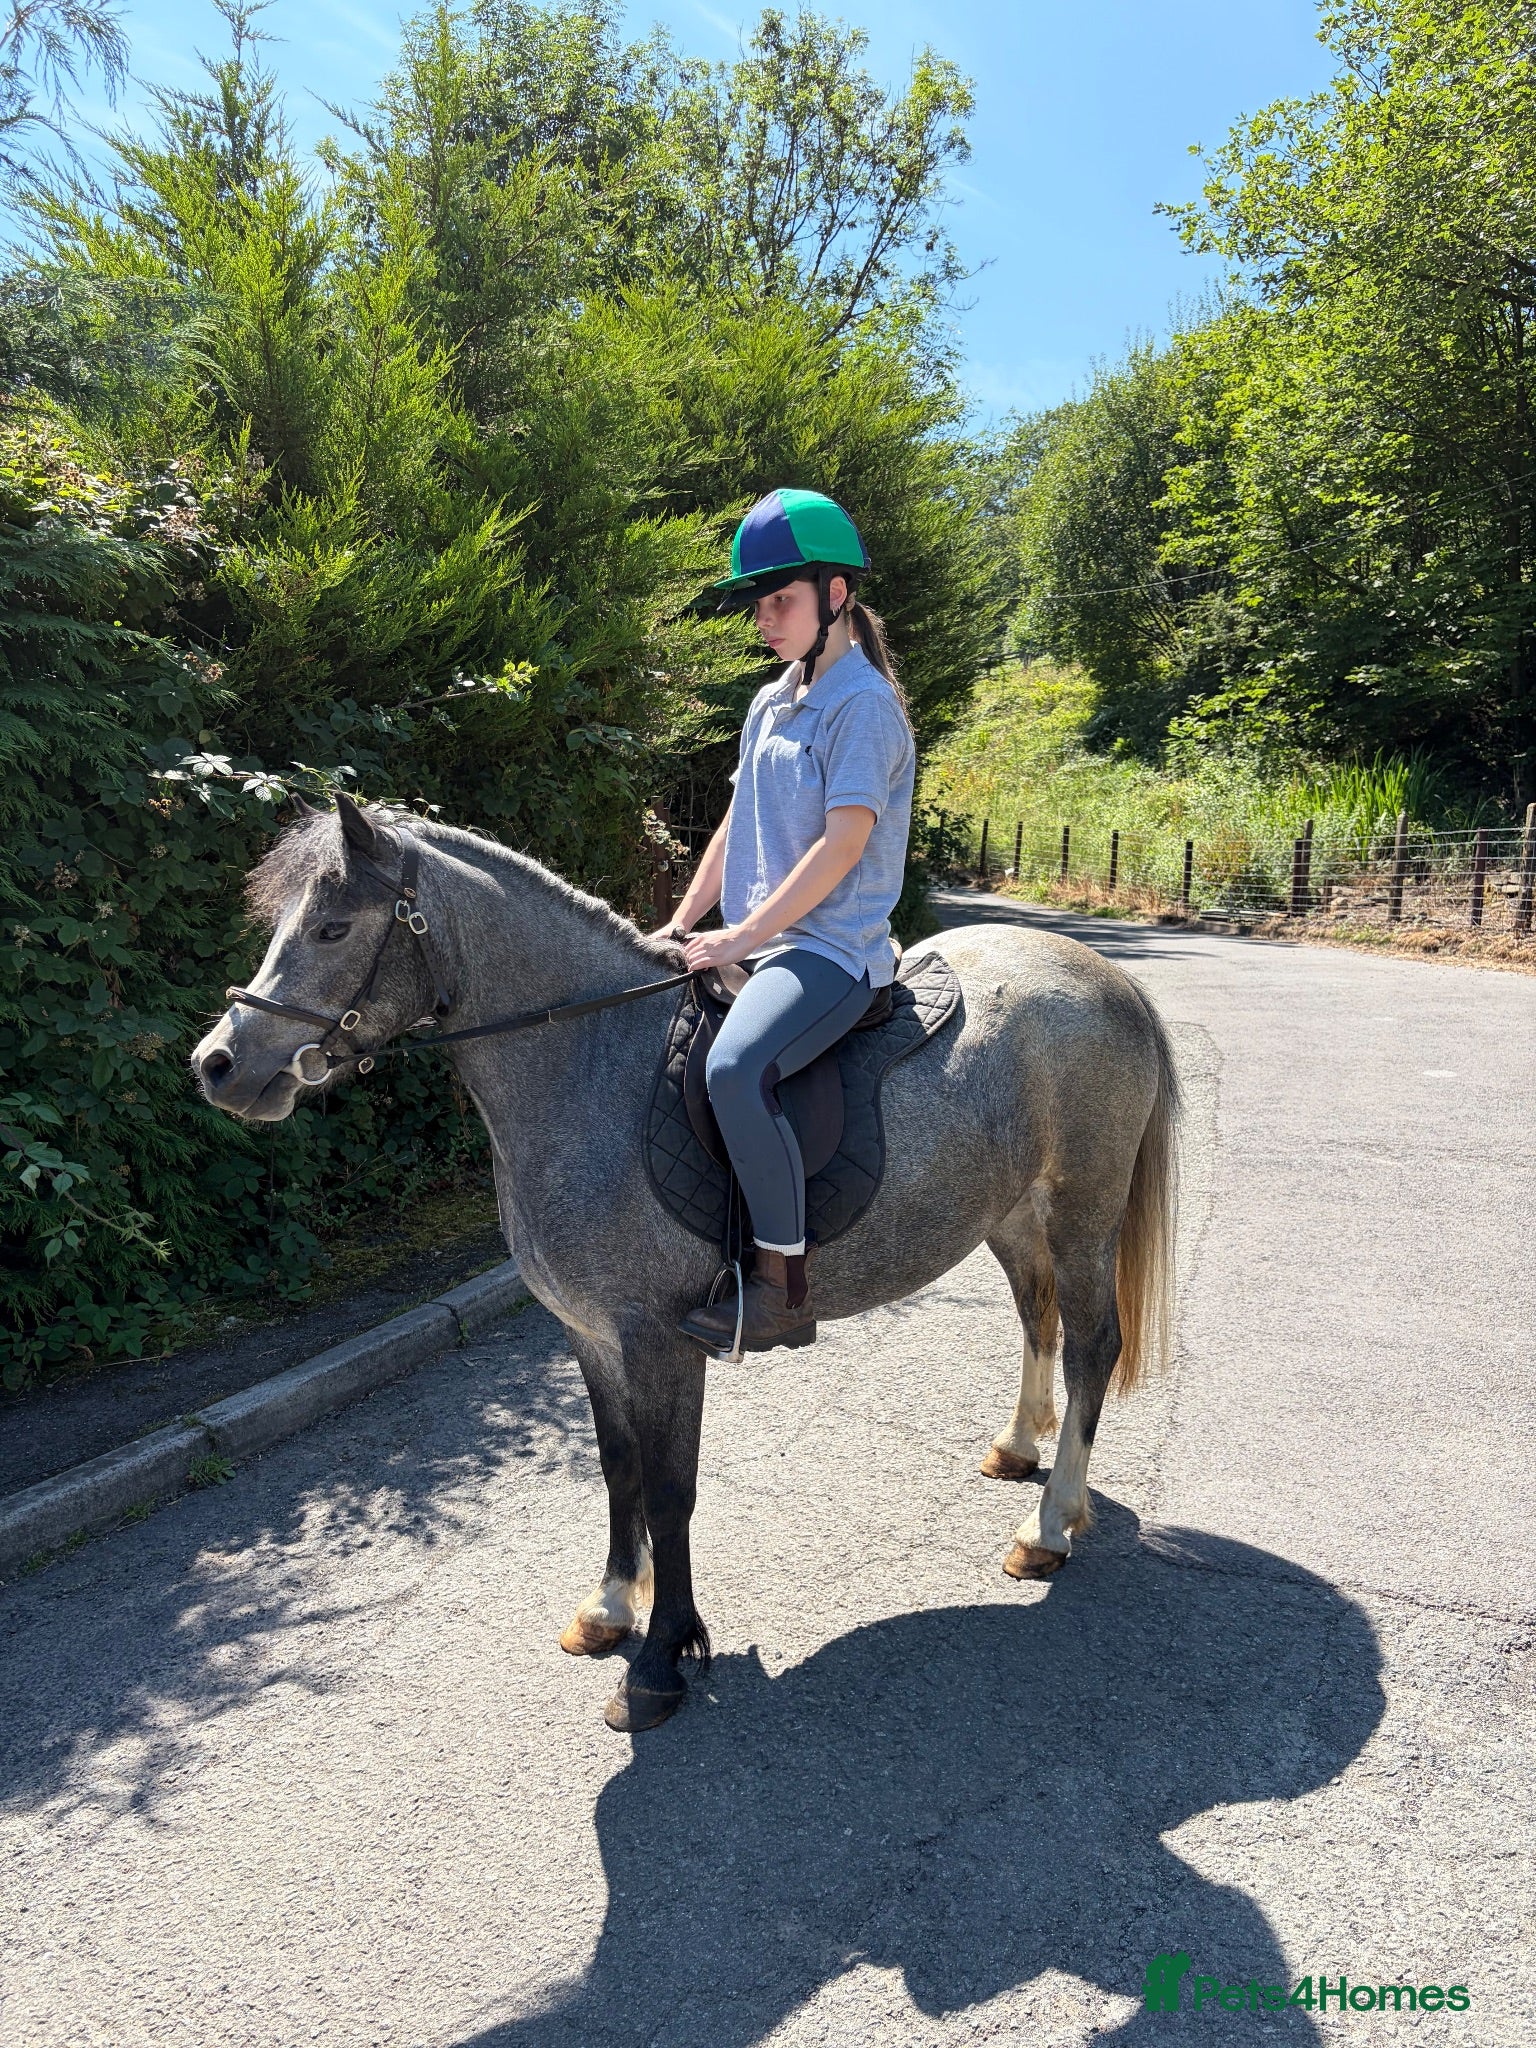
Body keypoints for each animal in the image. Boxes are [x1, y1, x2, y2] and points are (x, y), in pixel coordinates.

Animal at [191, 793, 1180, 1733]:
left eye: (333, 927)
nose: (218, 1065)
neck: (592, 1067)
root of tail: (1105, 977)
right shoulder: (591, 1336)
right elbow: (618, 1469)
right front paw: (608, 1609)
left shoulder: (660, 1342)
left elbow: (671, 1493)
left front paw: (661, 1662)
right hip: (1010, 1215)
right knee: (1037, 1316)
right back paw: (1019, 1450)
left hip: (1082, 1214)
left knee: (1093, 1345)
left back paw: (1049, 1526)